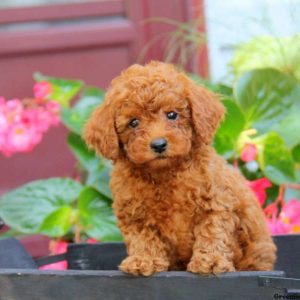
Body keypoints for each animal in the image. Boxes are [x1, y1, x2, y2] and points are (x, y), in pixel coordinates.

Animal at [84, 61, 276, 276]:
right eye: (133, 122)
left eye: (172, 115)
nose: (158, 144)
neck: (166, 173)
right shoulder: (134, 214)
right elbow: (143, 238)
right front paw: (144, 260)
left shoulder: (216, 203)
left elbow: (212, 232)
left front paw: (210, 261)